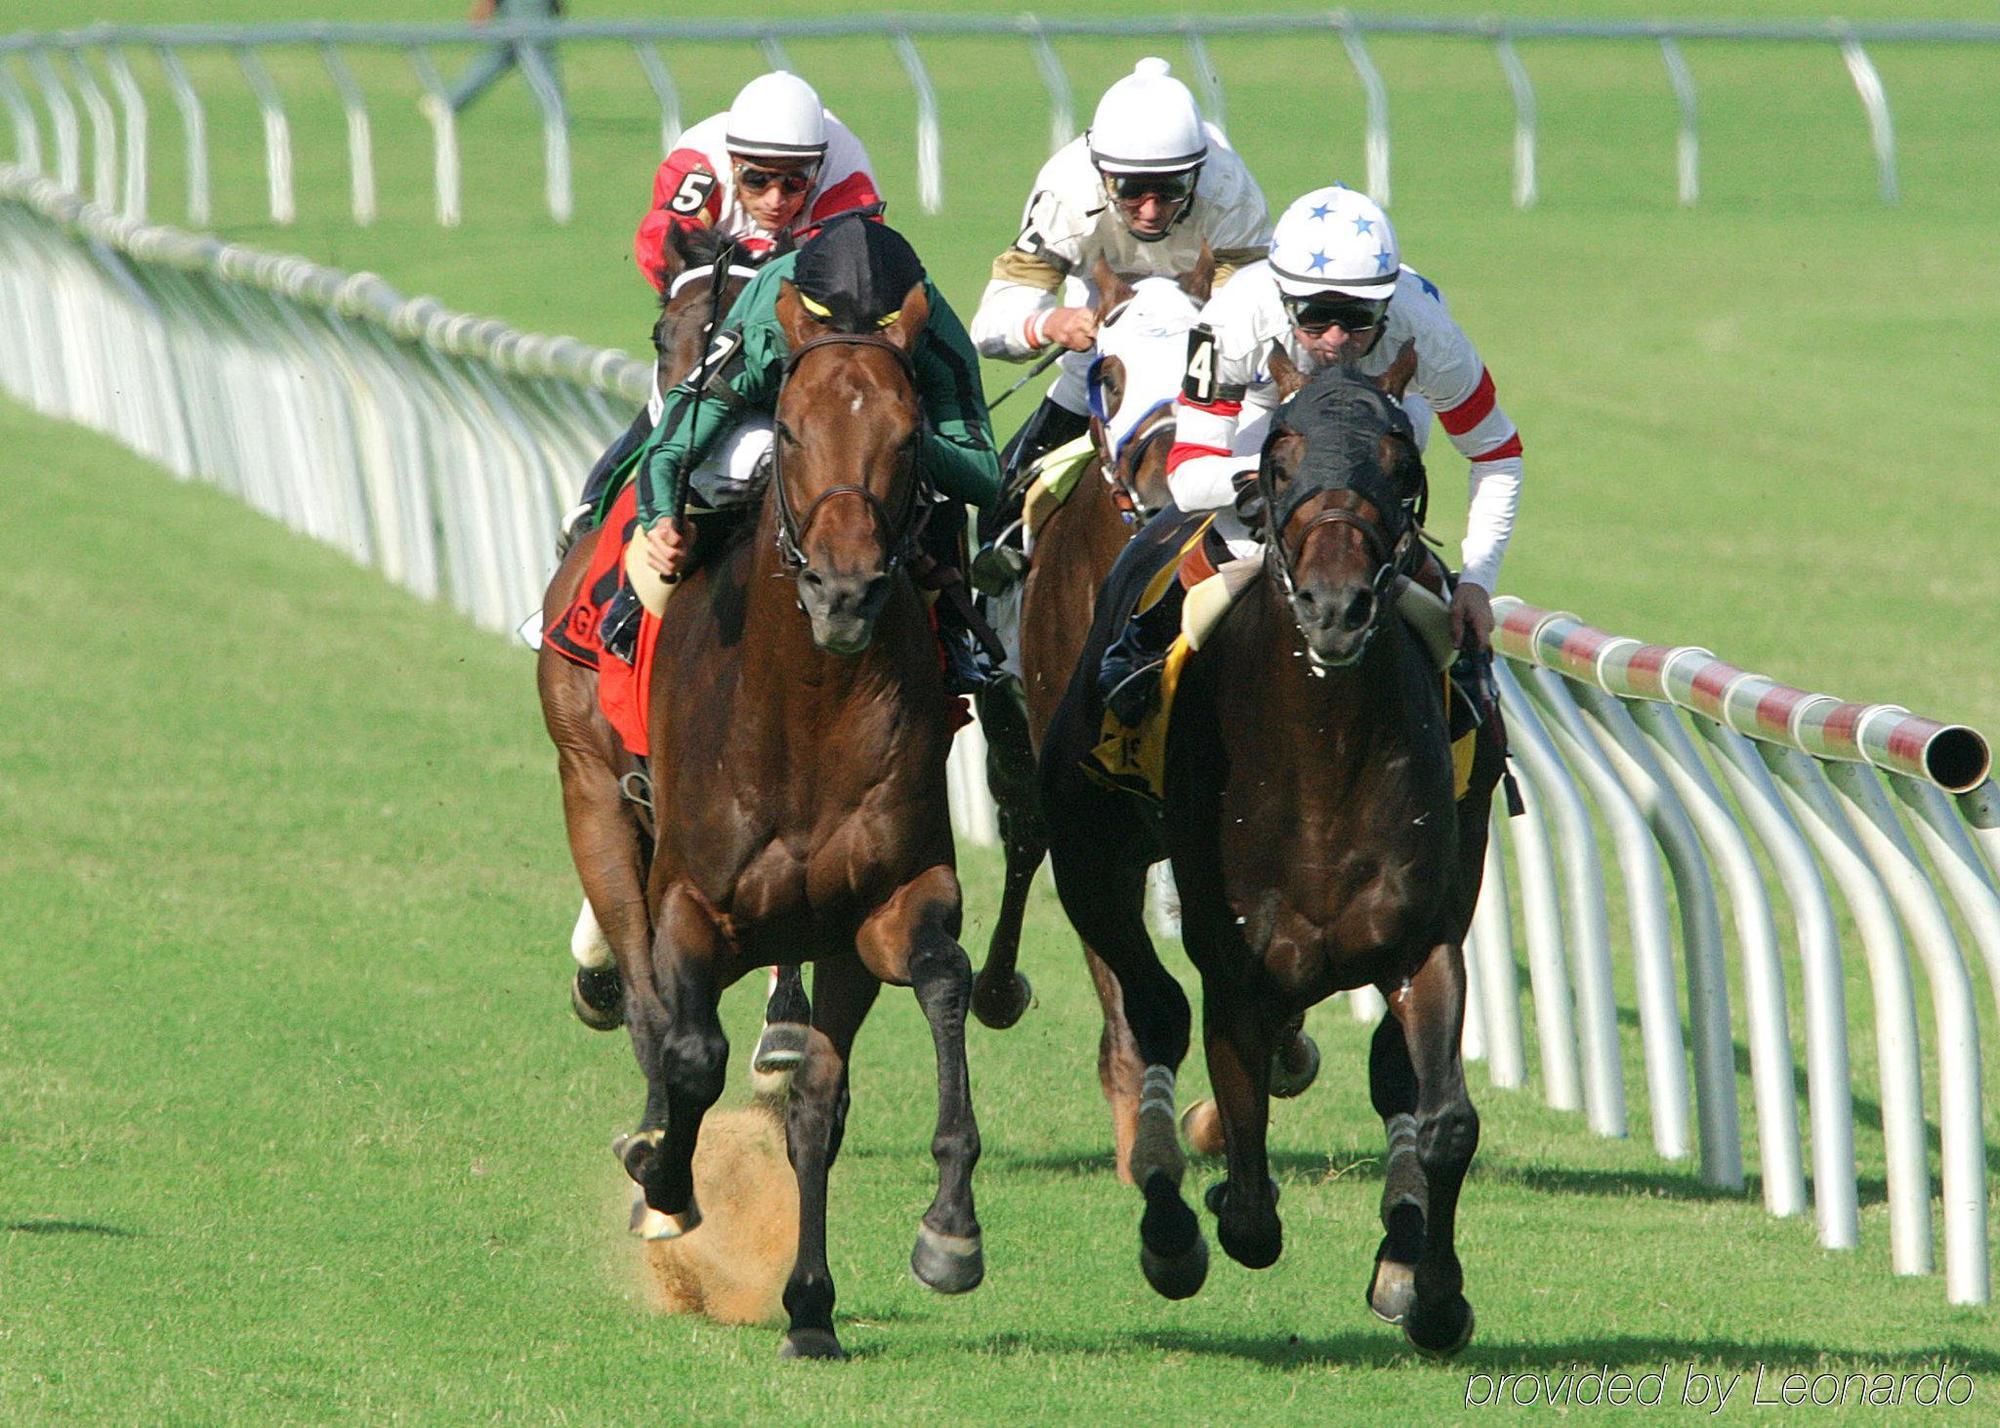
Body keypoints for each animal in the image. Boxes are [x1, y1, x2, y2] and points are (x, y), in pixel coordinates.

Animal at [612, 276, 980, 1360]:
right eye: (789, 426)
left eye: (909, 433)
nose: (844, 590)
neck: (809, 707)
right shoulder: (689, 902)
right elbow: (691, 1053)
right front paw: (664, 1180)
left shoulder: (888, 904)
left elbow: (944, 982)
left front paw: (950, 1229)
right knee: (662, 1022)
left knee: (819, 1100)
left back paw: (810, 1307)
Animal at [1040, 362, 1496, 1352]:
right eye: (1280, 459)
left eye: (1401, 462)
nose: (1335, 606)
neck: (1323, 752)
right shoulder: (1235, 962)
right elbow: (1249, 1203)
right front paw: (1210, 1200)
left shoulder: (1426, 940)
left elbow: (1441, 1117)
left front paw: (1432, 1289)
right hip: (1088, 853)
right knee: (1153, 1008)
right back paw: (1169, 1214)